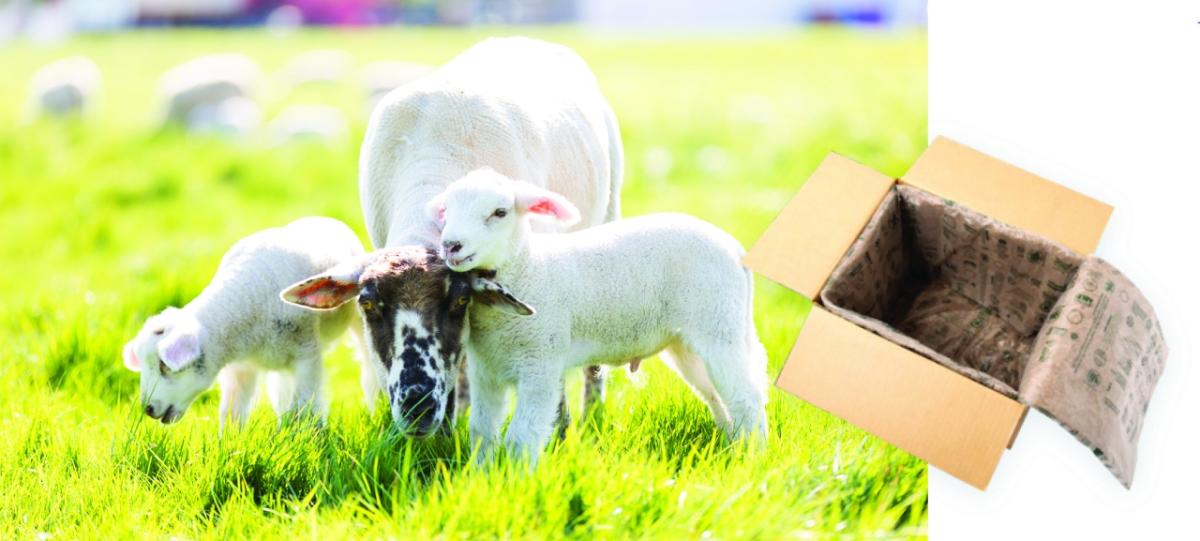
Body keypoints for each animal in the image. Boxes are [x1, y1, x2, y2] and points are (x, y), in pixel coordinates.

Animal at [121, 218, 367, 429]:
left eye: (164, 366)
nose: (148, 409)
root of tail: (321, 218)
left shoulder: (307, 356)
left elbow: (303, 411)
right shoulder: (240, 368)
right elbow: (231, 415)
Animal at [276, 37, 624, 436]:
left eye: (459, 300)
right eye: (367, 303)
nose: (418, 406)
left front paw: (557, 430)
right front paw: (448, 429)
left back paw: (592, 415)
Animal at [432, 170, 768, 465]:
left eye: (499, 212)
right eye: (447, 210)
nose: (451, 246)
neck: (529, 268)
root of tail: (735, 248)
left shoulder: (540, 365)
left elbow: (521, 438)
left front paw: (516, 477)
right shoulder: (486, 371)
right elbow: (482, 431)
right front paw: (482, 475)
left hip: (719, 324)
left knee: (747, 398)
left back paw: (753, 459)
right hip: (688, 341)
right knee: (717, 396)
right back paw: (734, 447)